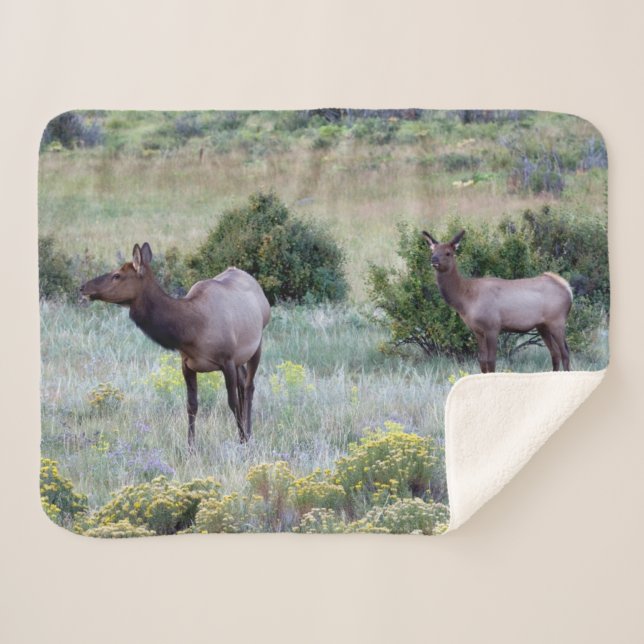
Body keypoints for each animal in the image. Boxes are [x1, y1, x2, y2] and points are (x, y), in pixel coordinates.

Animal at [80, 243, 271, 448]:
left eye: (117, 275)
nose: (83, 287)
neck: (192, 330)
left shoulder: (227, 359)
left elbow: (232, 402)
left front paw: (242, 440)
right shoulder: (187, 363)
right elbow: (192, 405)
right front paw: (191, 447)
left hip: (257, 344)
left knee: (249, 387)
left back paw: (249, 432)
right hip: (239, 359)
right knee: (243, 384)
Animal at [421, 229, 573, 373]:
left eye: (448, 253)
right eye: (432, 250)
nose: (434, 259)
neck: (466, 301)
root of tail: (568, 289)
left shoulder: (492, 326)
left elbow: (491, 361)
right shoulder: (477, 330)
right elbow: (482, 361)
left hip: (557, 321)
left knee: (565, 352)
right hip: (542, 326)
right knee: (555, 353)